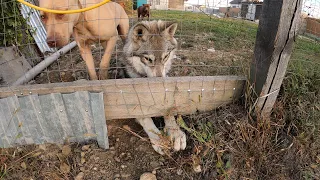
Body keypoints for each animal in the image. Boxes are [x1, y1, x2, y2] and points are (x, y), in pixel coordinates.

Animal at [122, 20, 188, 155]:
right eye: (148, 59)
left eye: (165, 57)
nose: (159, 83)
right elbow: (147, 120)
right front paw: (159, 139)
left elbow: (168, 111)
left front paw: (176, 133)